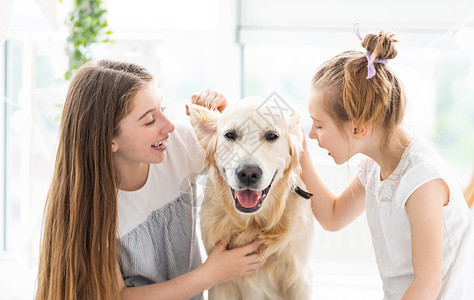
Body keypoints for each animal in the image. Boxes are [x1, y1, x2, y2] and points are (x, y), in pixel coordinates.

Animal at [189, 96, 314, 300]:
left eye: (272, 136)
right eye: (230, 135)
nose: (248, 173)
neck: (253, 224)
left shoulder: (298, 278)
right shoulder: (221, 283)